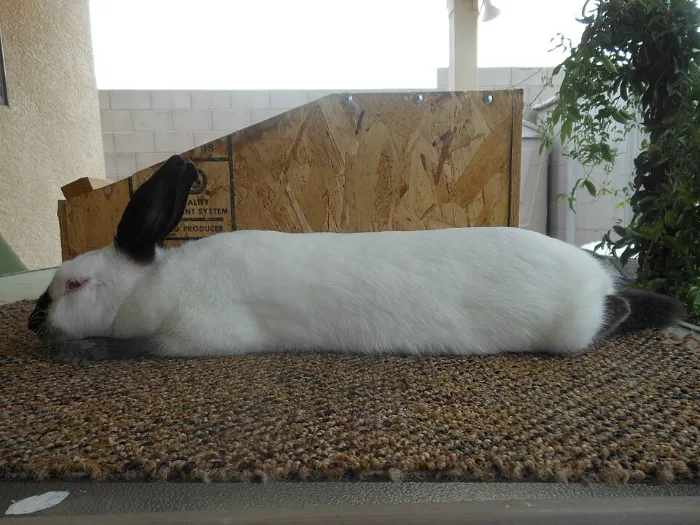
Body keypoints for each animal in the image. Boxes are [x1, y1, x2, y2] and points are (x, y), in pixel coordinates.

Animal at [27, 154, 685, 364]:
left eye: (75, 284)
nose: (33, 323)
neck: (151, 287)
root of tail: (595, 279)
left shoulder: (196, 335)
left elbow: (136, 348)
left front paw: (80, 352)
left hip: (570, 328)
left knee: (609, 319)